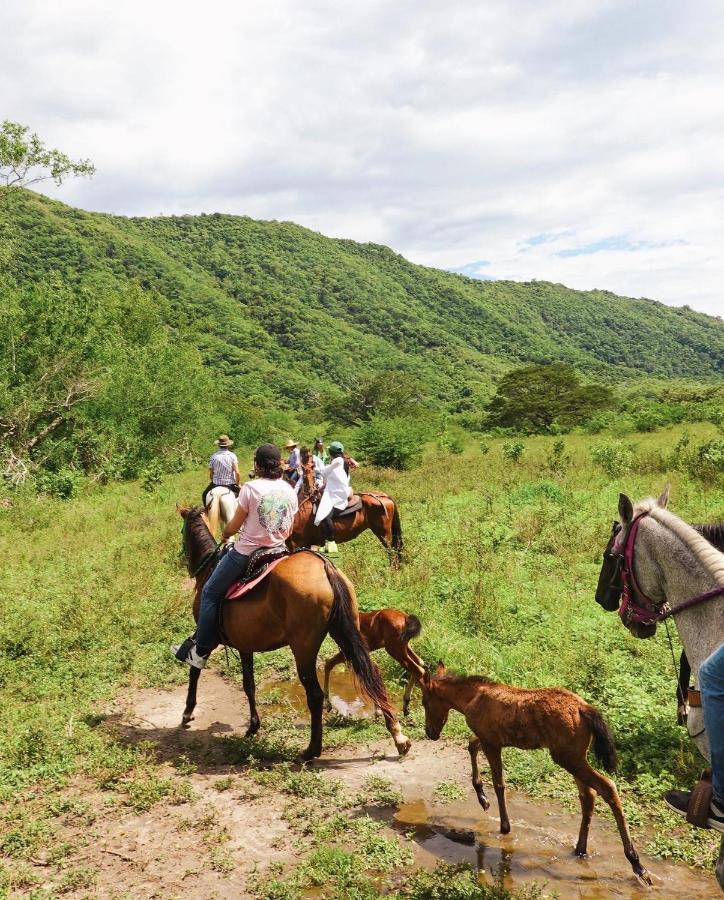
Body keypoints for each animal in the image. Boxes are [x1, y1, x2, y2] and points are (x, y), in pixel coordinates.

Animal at [179, 506, 410, 760]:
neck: (210, 569)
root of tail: (325, 568)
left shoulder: (208, 636)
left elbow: (195, 669)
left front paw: (188, 712)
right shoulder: (244, 644)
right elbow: (249, 684)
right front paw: (253, 726)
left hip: (304, 647)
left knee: (315, 694)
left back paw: (312, 750)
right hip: (346, 631)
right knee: (371, 673)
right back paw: (398, 736)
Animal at [418, 660, 652, 884]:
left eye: (424, 702)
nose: (430, 733)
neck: (471, 698)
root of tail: (584, 709)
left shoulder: (491, 742)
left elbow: (499, 784)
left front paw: (504, 826)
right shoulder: (489, 739)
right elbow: (471, 745)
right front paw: (482, 798)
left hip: (568, 758)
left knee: (607, 787)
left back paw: (637, 864)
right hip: (577, 757)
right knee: (588, 795)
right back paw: (581, 849)